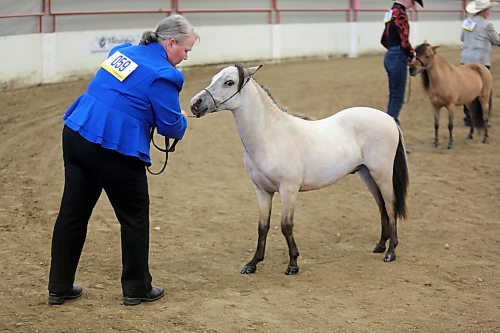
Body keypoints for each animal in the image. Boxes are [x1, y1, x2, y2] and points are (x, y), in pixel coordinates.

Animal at [189, 63, 408, 274]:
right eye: (213, 78)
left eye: (229, 82)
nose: (195, 104)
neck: (270, 136)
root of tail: (389, 118)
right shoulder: (262, 191)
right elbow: (263, 226)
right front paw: (252, 264)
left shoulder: (288, 190)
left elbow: (286, 226)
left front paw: (293, 264)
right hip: (366, 174)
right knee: (381, 207)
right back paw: (380, 245)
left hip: (381, 174)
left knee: (390, 205)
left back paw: (390, 252)